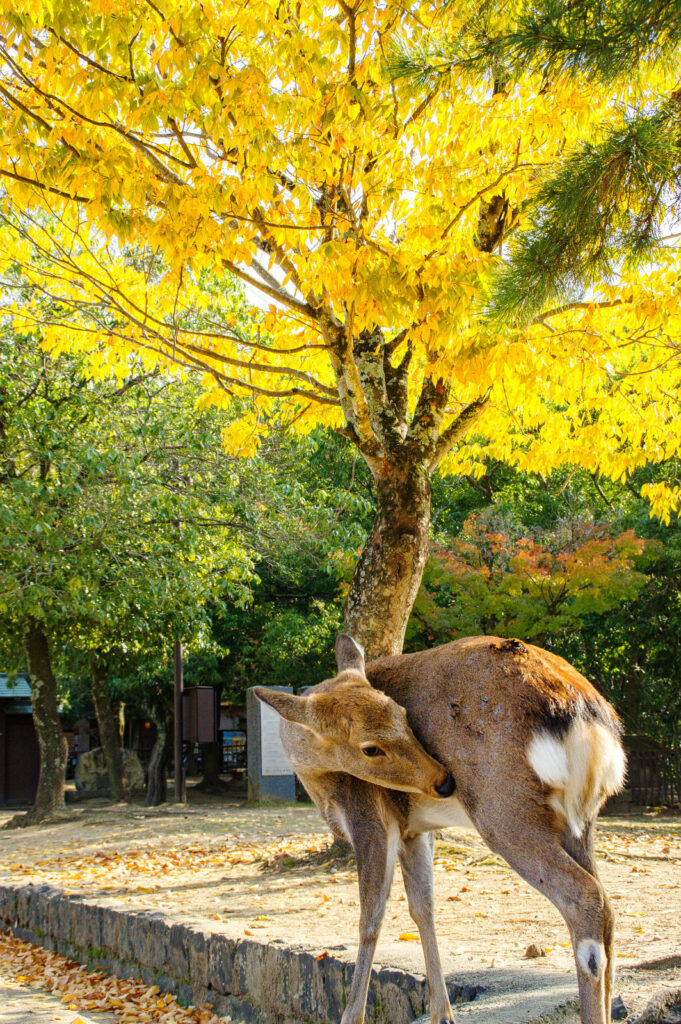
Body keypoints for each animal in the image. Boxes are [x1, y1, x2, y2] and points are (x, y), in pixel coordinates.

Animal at [251, 630, 622, 1024]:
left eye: (403, 715)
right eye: (372, 747)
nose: (444, 783)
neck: (318, 782)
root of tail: (590, 720)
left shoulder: (370, 818)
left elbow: (371, 918)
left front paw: (352, 1016)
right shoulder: (415, 830)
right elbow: (423, 908)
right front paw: (442, 1014)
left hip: (505, 812)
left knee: (585, 897)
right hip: (581, 821)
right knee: (608, 907)